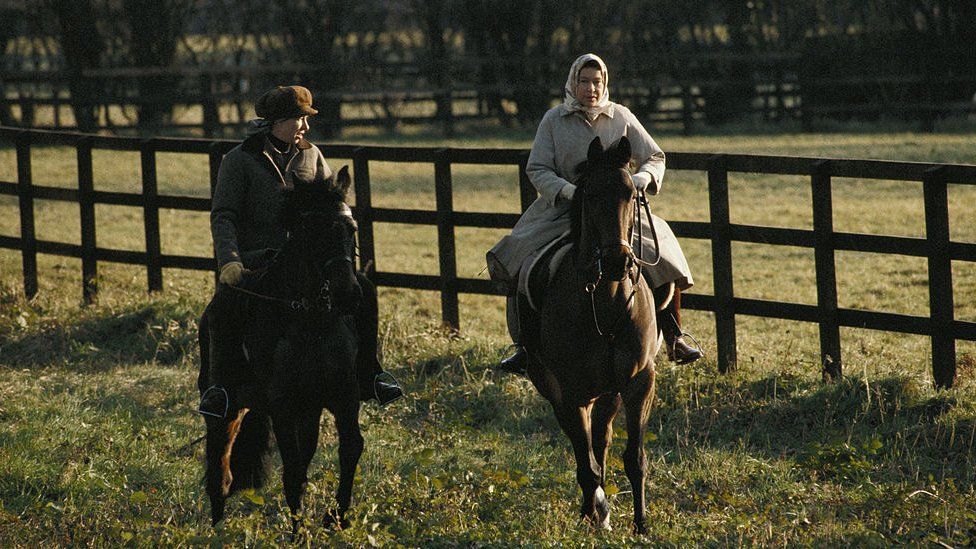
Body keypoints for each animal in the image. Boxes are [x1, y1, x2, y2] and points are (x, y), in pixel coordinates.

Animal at [198, 166, 366, 532]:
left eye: (351, 229)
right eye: (313, 230)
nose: (347, 293)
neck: (312, 323)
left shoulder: (342, 396)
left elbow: (349, 449)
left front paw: (336, 517)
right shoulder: (283, 405)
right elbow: (292, 474)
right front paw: (298, 533)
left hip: (307, 410)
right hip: (226, 403)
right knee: (220, 463)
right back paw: (215, 528)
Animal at [524, 135, 660, 532]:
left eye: (631, 193)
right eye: (590, 195)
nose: (618, 261)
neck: (608, 301)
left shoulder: (639, 382)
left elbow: (634, 459)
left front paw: (641, 525)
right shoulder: (572, 392)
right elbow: (586, 465)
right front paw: (593, 511)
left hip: (609, 393)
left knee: (601, 440)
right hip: (556, 389)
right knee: (583, 449)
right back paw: (595, 508)